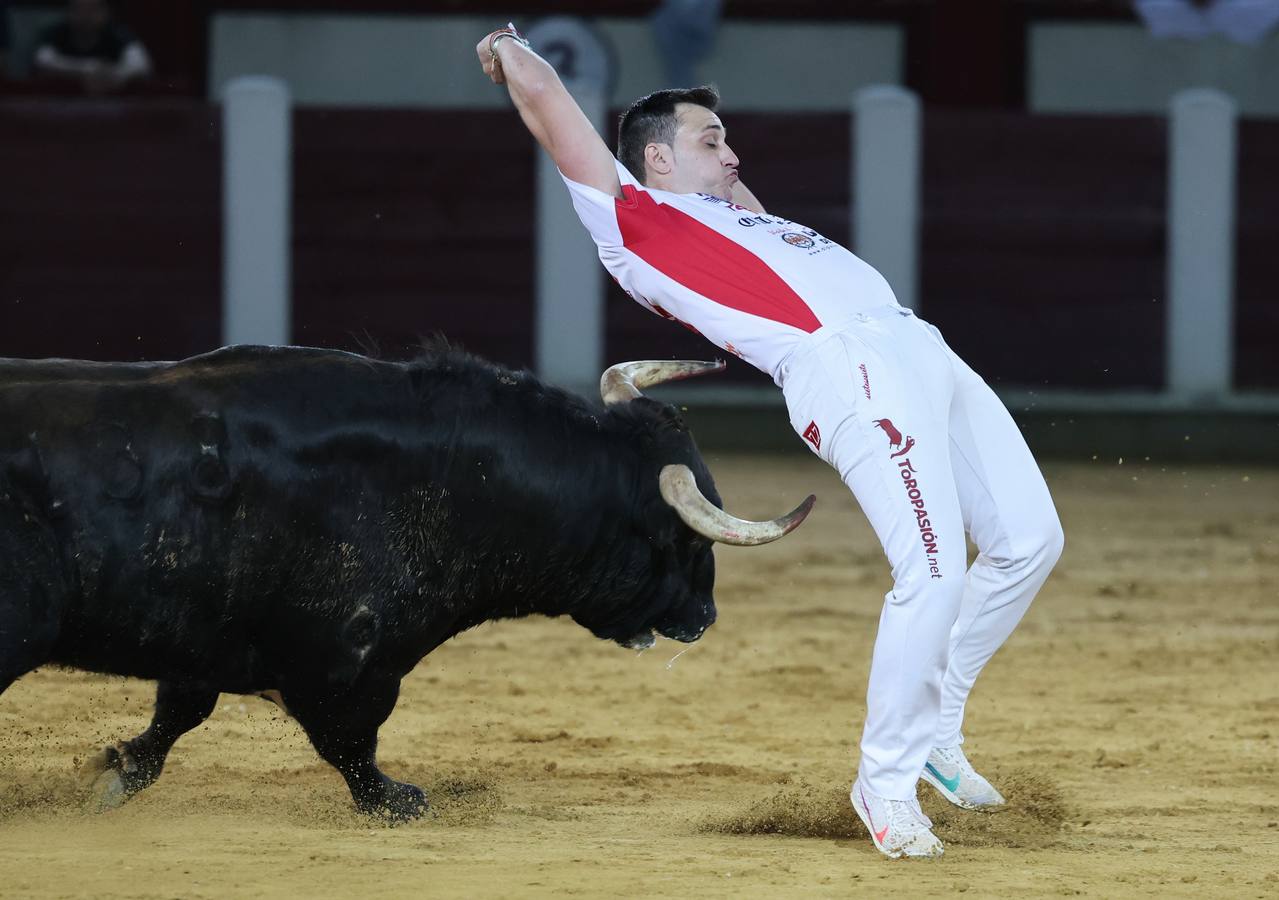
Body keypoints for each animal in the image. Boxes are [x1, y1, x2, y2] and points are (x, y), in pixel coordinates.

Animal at [0, 345, 808, 823]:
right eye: (684, 541)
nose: (704, 616)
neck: (452, 479)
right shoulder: (349, 656)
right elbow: (351, 741)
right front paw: (398, 800)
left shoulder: (204, 639)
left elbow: (178, 715)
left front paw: (114, 772)